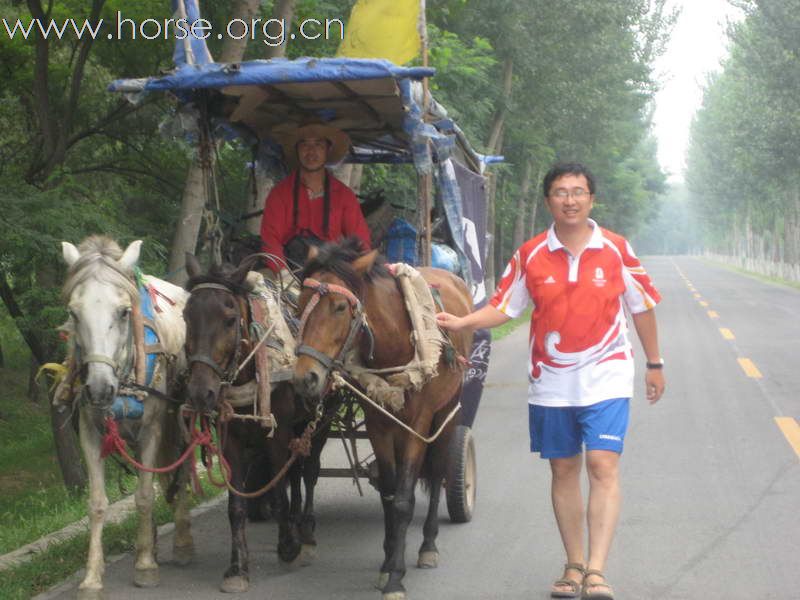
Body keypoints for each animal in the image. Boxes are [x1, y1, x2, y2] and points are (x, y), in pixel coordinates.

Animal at [61, 237, 194, 596]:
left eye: (123, 312)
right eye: (73, 313)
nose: (98, 388)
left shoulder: (152, 431)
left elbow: (145, 496)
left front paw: (145, 566)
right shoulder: (90, 432)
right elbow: (96, 504)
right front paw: (92, 578)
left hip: (180, 421)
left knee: (179, 472)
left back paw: (180, 541)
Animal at [182, 254, 332, 596]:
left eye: (229, 319)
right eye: (185, 316)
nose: (200, 393)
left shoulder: (278, 433)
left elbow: (278, 490)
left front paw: (288, 547)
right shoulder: (231, 439)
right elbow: (236, 504)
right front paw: (238, 567)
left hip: (319, 421)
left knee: (309, 471)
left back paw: (306, 532)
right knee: (295, 472)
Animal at [294, 239, 476, 600]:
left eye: (339, 307)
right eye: (300, 304)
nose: (305, 378)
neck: (397, 342)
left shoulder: (417, 426)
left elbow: (404, 500)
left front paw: (396, 577)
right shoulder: (379, 424)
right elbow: (389, 495)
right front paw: (387, 561)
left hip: (448, 411)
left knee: (438, 470)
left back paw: (428, 545)